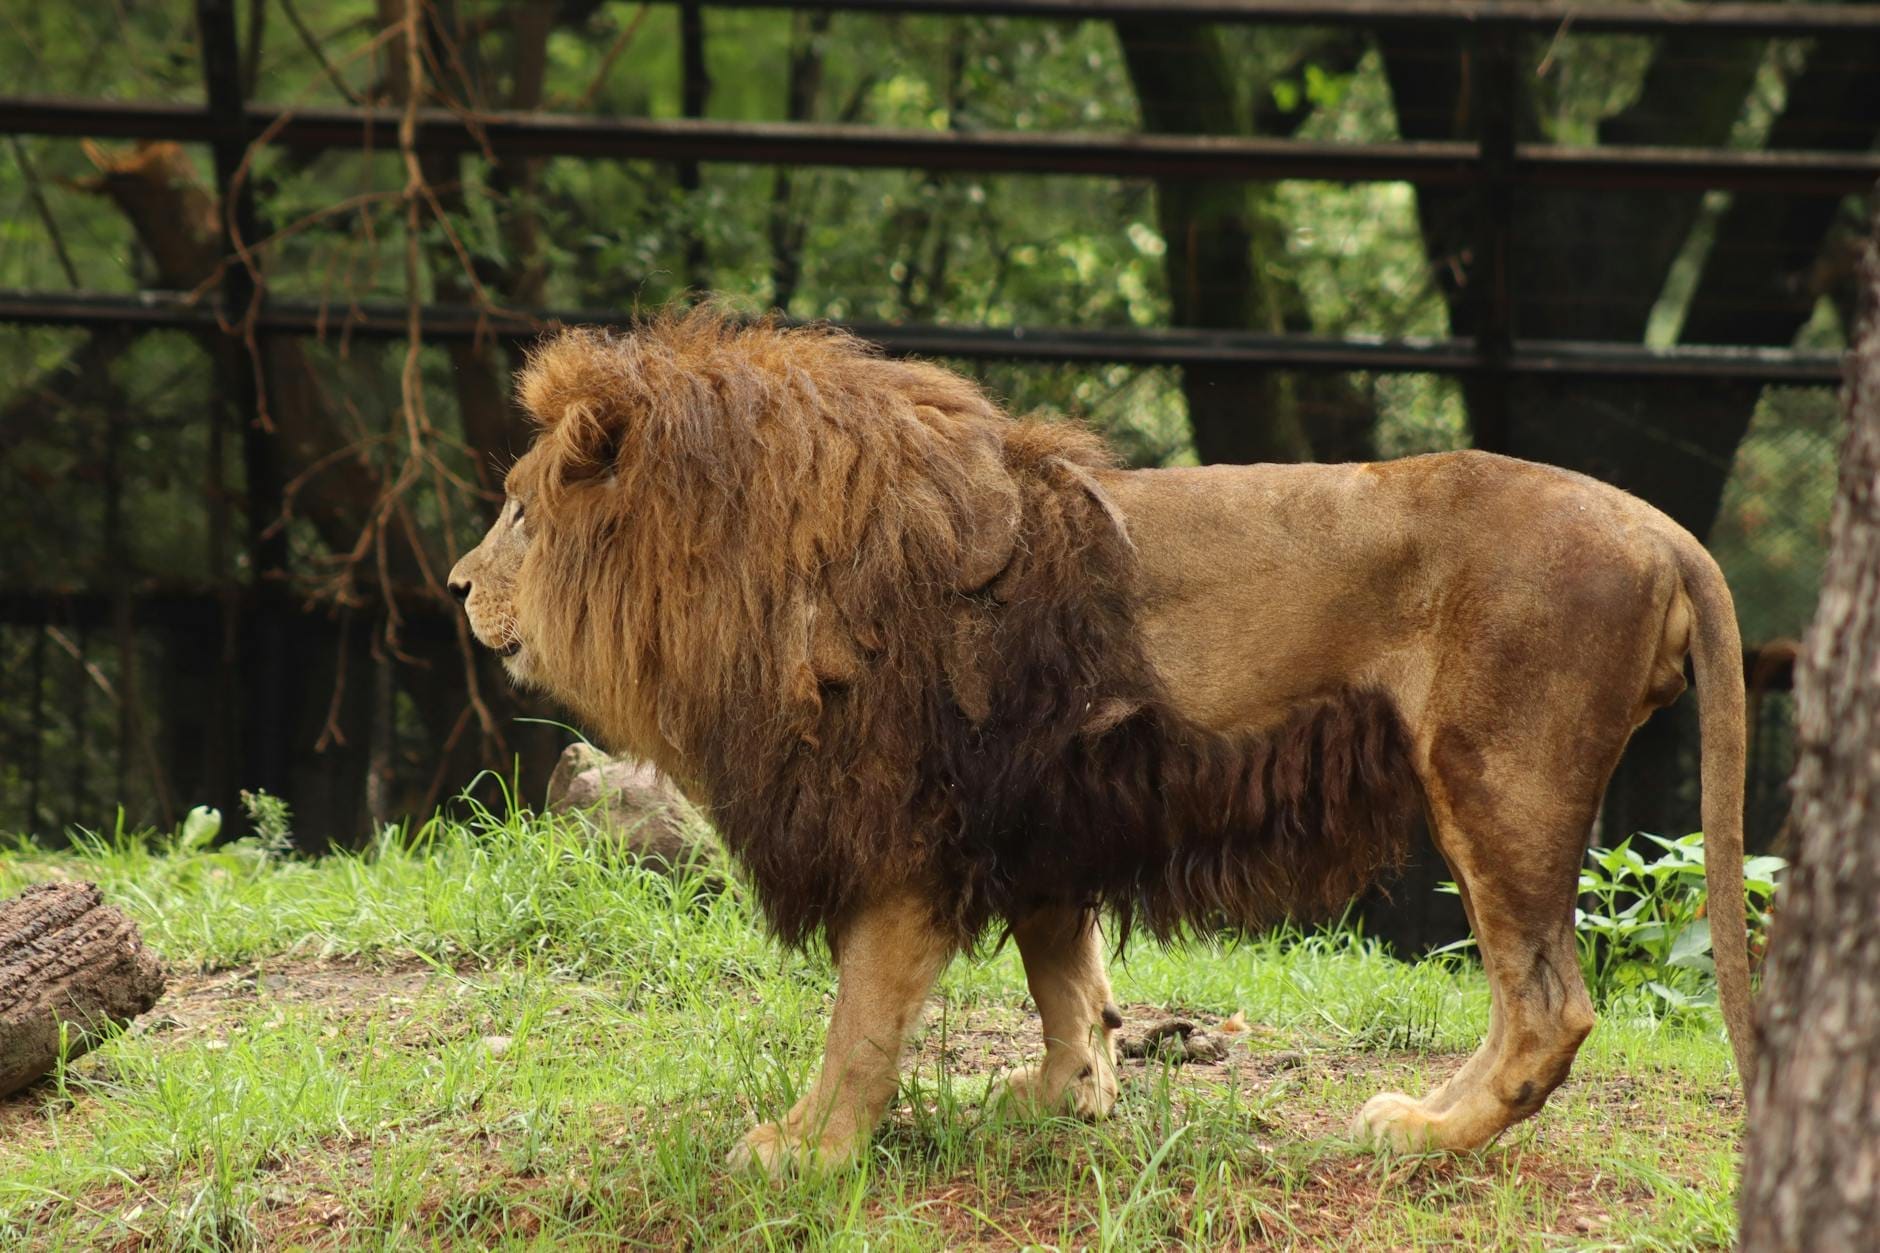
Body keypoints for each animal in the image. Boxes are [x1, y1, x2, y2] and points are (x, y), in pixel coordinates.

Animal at [448, 307, 1753, 1174]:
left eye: (517, 511)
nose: (456, 585)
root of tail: (1655, 526)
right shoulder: (1044, 805)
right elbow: (1064, 974)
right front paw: (1062, 1094)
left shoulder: (905, 829)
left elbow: (860, 1019)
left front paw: (807, 1150)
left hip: (1497, 777)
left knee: (1546, 1002)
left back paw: (1422, 1130)